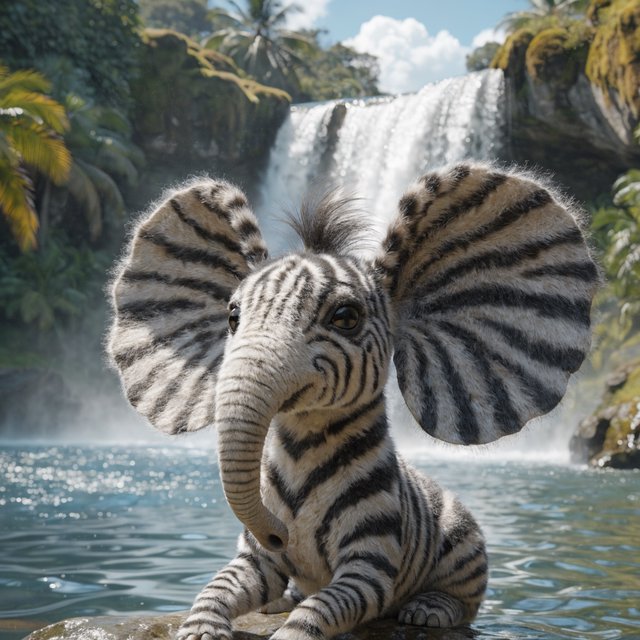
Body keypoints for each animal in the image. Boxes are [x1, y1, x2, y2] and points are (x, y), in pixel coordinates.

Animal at [108, 163, 598, 640]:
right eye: (232, 317)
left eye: (345, 318)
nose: (279, 536)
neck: (302, 447)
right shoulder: (255, 561)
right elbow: (217, 587)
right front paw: (201, 630)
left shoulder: (371, 564)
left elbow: (319, 610)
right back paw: (279, 601)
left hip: (463, 542)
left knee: (465, 597)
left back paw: (427, 611)